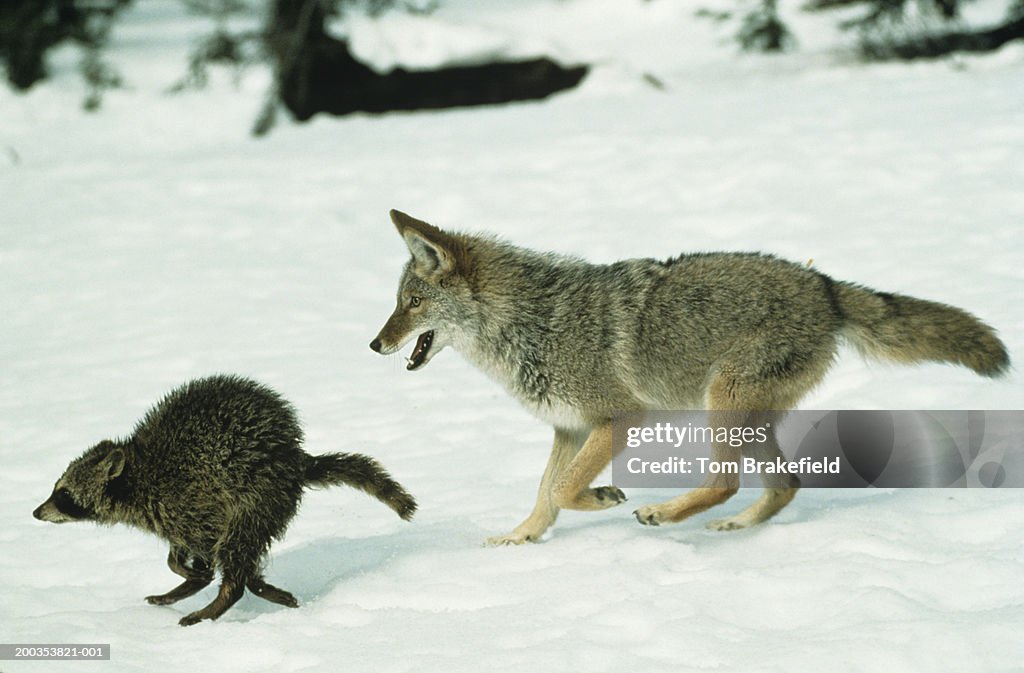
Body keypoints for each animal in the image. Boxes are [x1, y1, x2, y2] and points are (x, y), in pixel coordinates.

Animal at [33, 372, 415, 622]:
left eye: (63, 493)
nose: (37, 512)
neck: (136, 473)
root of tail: (293, 456)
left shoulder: (188, 501)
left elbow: (205, 546)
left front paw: (195, 576)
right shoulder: (171, 516)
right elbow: (180, 551)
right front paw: (187, 574)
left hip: (257, 493)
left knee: (237, 546)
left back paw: (220, 601)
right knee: (244, 553)